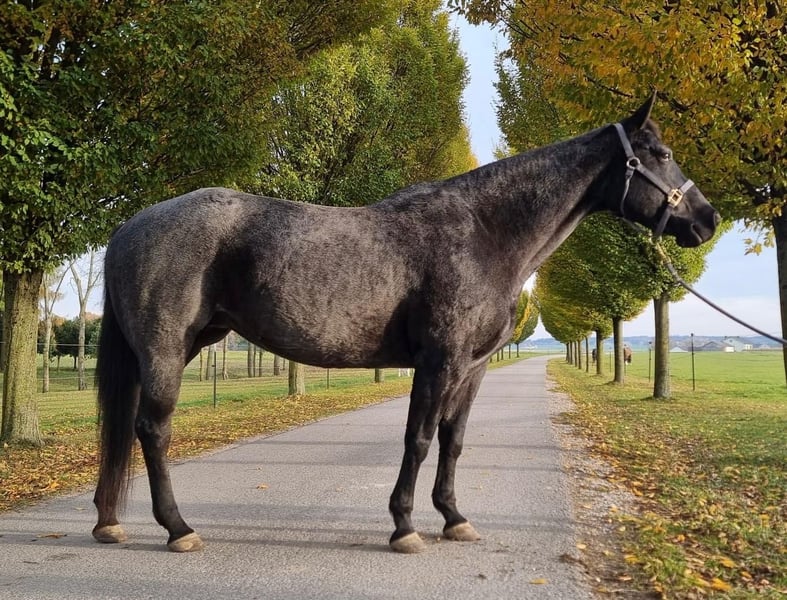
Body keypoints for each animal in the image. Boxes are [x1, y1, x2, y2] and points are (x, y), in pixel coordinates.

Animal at [92, 94, 719, 554]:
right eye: (659, 152)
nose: (706, 220)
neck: (484, 232)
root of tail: (129, 226)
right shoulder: (439, 361)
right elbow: (417, 438)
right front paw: (405, 527)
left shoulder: (474, 367)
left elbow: (452, 439)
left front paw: (454, 517)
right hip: (166, 349)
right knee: (152, 429)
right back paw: (178, 529)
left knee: (124, 426)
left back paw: (108, 522)